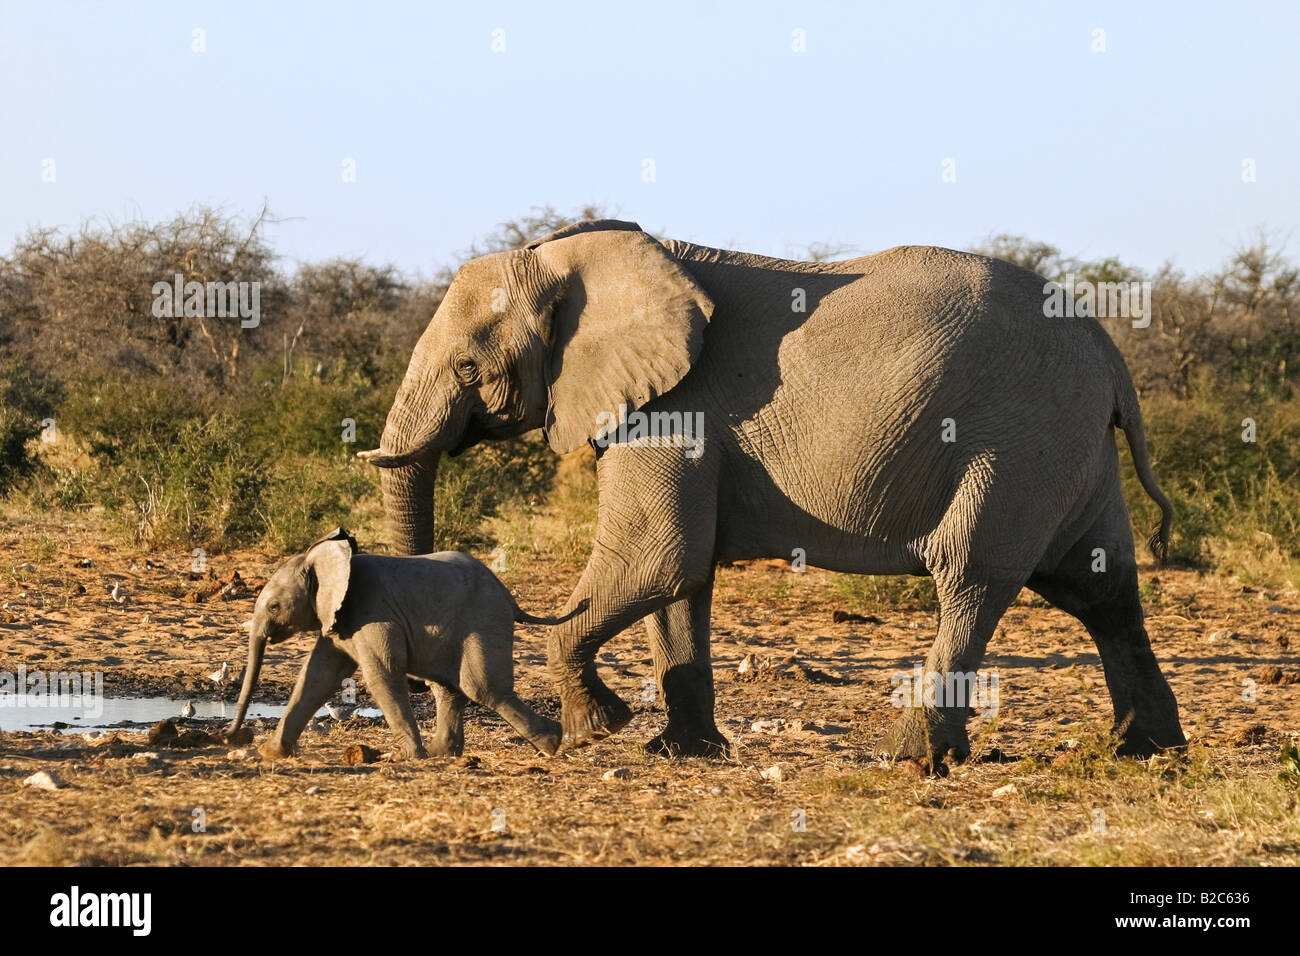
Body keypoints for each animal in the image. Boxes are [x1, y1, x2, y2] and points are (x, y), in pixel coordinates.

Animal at [224, 528, 574, 759]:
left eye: (273, 607)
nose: (231, 737)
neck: (325, 560)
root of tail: (510, 597)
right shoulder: (337, 619)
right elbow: (317, 677)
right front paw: (270, 753)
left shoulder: (373, 613)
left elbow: (382, 675)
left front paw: (407, 758)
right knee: (449, 688)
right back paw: (441, 753)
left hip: (484, 621)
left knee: (482, 688)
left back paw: (552, 743)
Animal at [361, 218, 1185, 770]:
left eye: (468, 369)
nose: (445, 750)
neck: (574, 259)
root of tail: (1109, 352)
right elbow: (681, 579)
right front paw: (680, 753)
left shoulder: (674, 410)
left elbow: (657, 558)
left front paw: (596, 730)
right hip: (1070, 449)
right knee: (1102, 588)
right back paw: (1143, 750)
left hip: (1017, 443)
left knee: (972, 578)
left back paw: (914, 759)